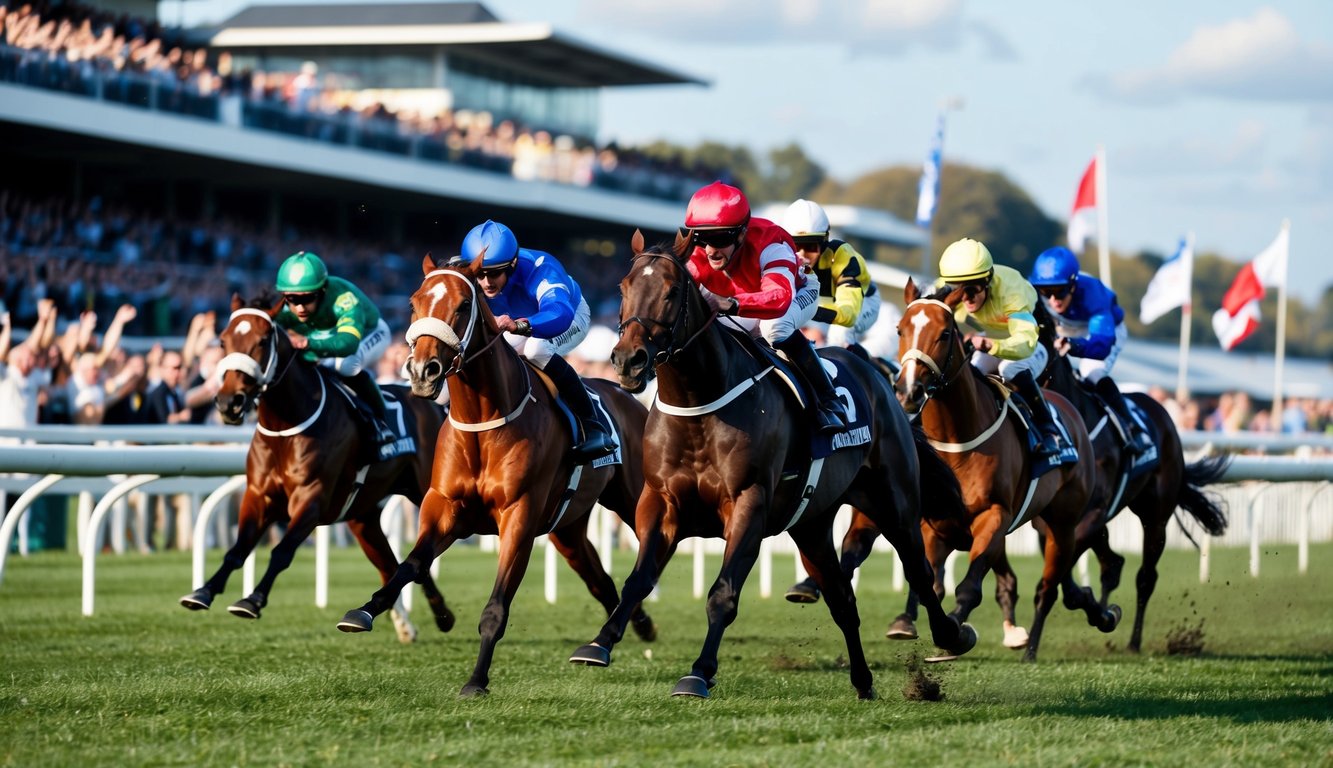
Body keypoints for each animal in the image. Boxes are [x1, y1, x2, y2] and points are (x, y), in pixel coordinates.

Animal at [179, 293, 455, 642]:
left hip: (428, 492)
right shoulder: (257, 495)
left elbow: (282, 551)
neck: (285, 426)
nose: (229, 402)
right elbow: (237, 549)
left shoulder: (311, 499)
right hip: (363, 517)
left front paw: (252, 600)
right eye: (224, 340)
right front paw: (203, 591)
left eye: (263, 340)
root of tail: (436, 405)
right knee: (393, 563)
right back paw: (433, 618)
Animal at [333, 253, 655, 693]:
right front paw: (363, 612)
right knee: (600, 580)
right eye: (415, 303)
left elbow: (496, 608)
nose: (421, 370)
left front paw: (476, 680)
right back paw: (623, 632)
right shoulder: (444, 508)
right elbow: (409, 565)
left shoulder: (519, 517)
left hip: (635, 499)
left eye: (462, 306)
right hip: (568, 526)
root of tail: (631, 399)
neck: (483, 423)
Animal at [573, 230, 981, 698]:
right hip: (812, 525)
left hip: (894, 505)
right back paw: (862, 681)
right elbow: (638, 581)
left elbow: (723, 594)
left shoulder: (749, 504)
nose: (628, 360)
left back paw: (951, 635)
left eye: (672, 291)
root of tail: (882, 380)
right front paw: (599, 643)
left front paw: (699, 672)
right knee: (843, 600)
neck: (699, 403)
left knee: (917, 569)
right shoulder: (660, 502)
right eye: (623, 288)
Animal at [890, 282, 1119, 661]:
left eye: (945, 333)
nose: (909, 391)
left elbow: (969, 589)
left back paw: (1039, 645)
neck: (958, 441)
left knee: (1051, 584)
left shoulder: (994, 517)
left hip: (1061, 524)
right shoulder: (935, 527)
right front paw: (911, 624)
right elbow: (929, 585)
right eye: (900, 330)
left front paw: (957, 632)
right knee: (1066, 586)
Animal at [1034, 314, 1231, 650]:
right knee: (1113, 564)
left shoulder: (1092, 512)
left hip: (1155, 516)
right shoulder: (1052, 518)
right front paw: (1092, 607)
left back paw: (1133, 641)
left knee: (1145, 577)